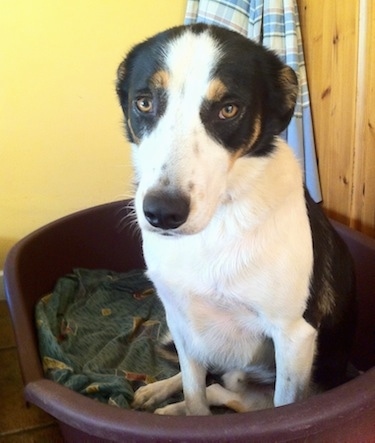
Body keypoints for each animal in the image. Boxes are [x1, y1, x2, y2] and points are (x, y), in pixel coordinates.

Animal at [116, 22, 356, 414]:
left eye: (228, 109)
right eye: (144, 102)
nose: (162, 213)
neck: (217, 224)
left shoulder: (294, 335)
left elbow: (275, 405)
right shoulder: (180, 318)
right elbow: (194, 392)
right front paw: (185, 407)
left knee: (221, 391)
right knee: (204, 382)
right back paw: (161, 396)